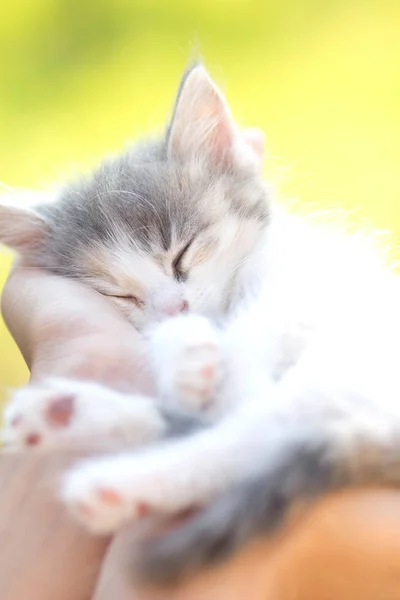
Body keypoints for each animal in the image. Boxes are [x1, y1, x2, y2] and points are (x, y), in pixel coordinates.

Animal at [2, 67, 400, 584]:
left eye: (184, 253)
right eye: (120, 295)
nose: (177, 306)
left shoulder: (311, 284)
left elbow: (255, 330)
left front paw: (226, 370)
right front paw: (185, 356)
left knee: (258, 432)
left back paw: (113, 477)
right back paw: (67, 417)